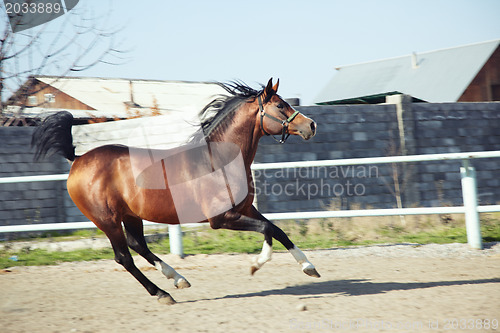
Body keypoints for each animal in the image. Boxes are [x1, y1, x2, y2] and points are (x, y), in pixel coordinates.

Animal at [33, 78, 318, 304]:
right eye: (280, 106)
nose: (311, 125)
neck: (217, 161)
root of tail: (78, 159)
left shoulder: (245, 209)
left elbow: (277, 230)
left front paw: (309, 267)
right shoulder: (221, 219)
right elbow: (268, 229)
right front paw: (256, 265)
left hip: (131, 215)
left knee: (138, 245)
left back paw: (178, 279)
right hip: (107, 220)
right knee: (124, 257)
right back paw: (163, 294)